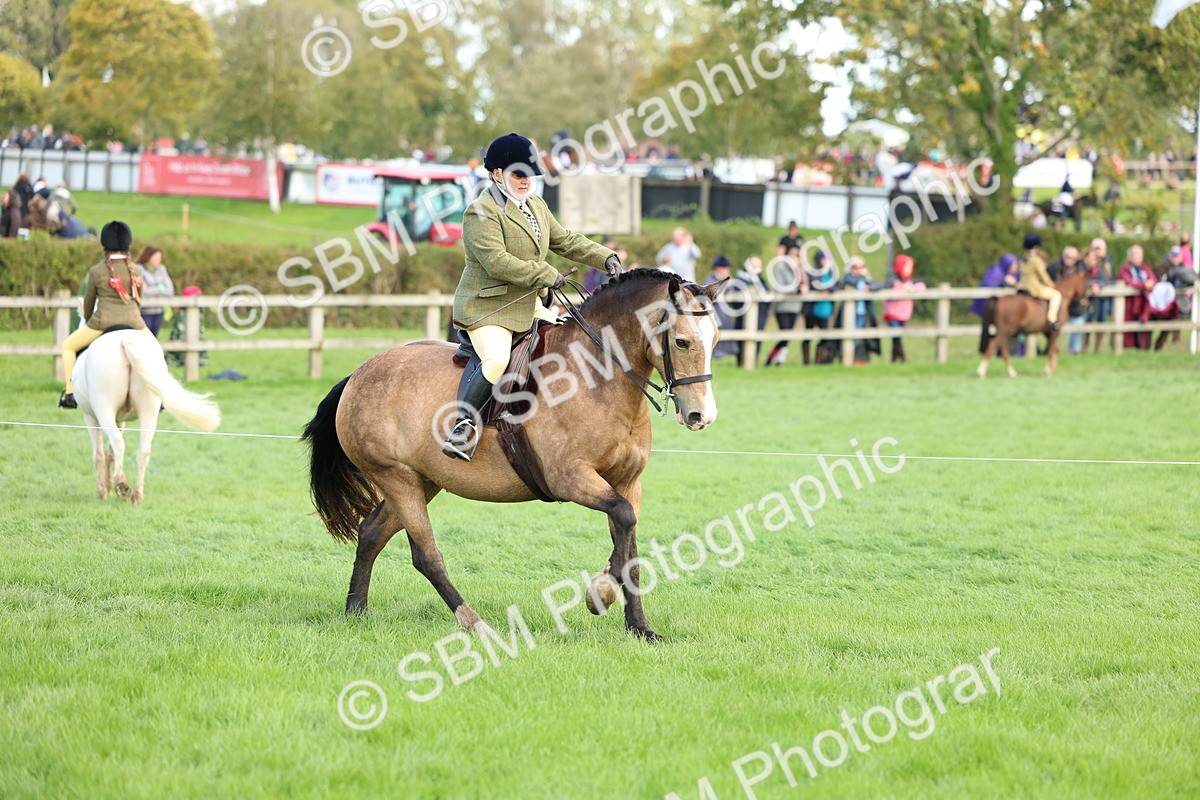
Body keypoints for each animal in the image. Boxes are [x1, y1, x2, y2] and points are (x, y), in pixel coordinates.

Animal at [73, 328, 221, 505]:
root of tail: (124, 339)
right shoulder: (120, 419)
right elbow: (110, 454)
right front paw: (107, 487)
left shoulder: (90, 417)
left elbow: (99, 455)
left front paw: (102, 491)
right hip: (148, 412)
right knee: (143, 451)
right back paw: (137, 495)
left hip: (104, 409)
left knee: (117, 442)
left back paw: (121, 484)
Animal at [302, 270, 723, 641]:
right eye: (682, 342)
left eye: (716, 340)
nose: (701, 416)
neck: (597, 378)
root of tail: (360, 373)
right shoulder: (570, 479)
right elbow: (622, 518)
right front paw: (599, 593)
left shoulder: (627, 482)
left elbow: (629, 539)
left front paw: (640, 628)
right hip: (397, 478)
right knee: (426, 555)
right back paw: (475, 624)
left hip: (422, 479)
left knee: (372, 533)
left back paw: (356, 610)